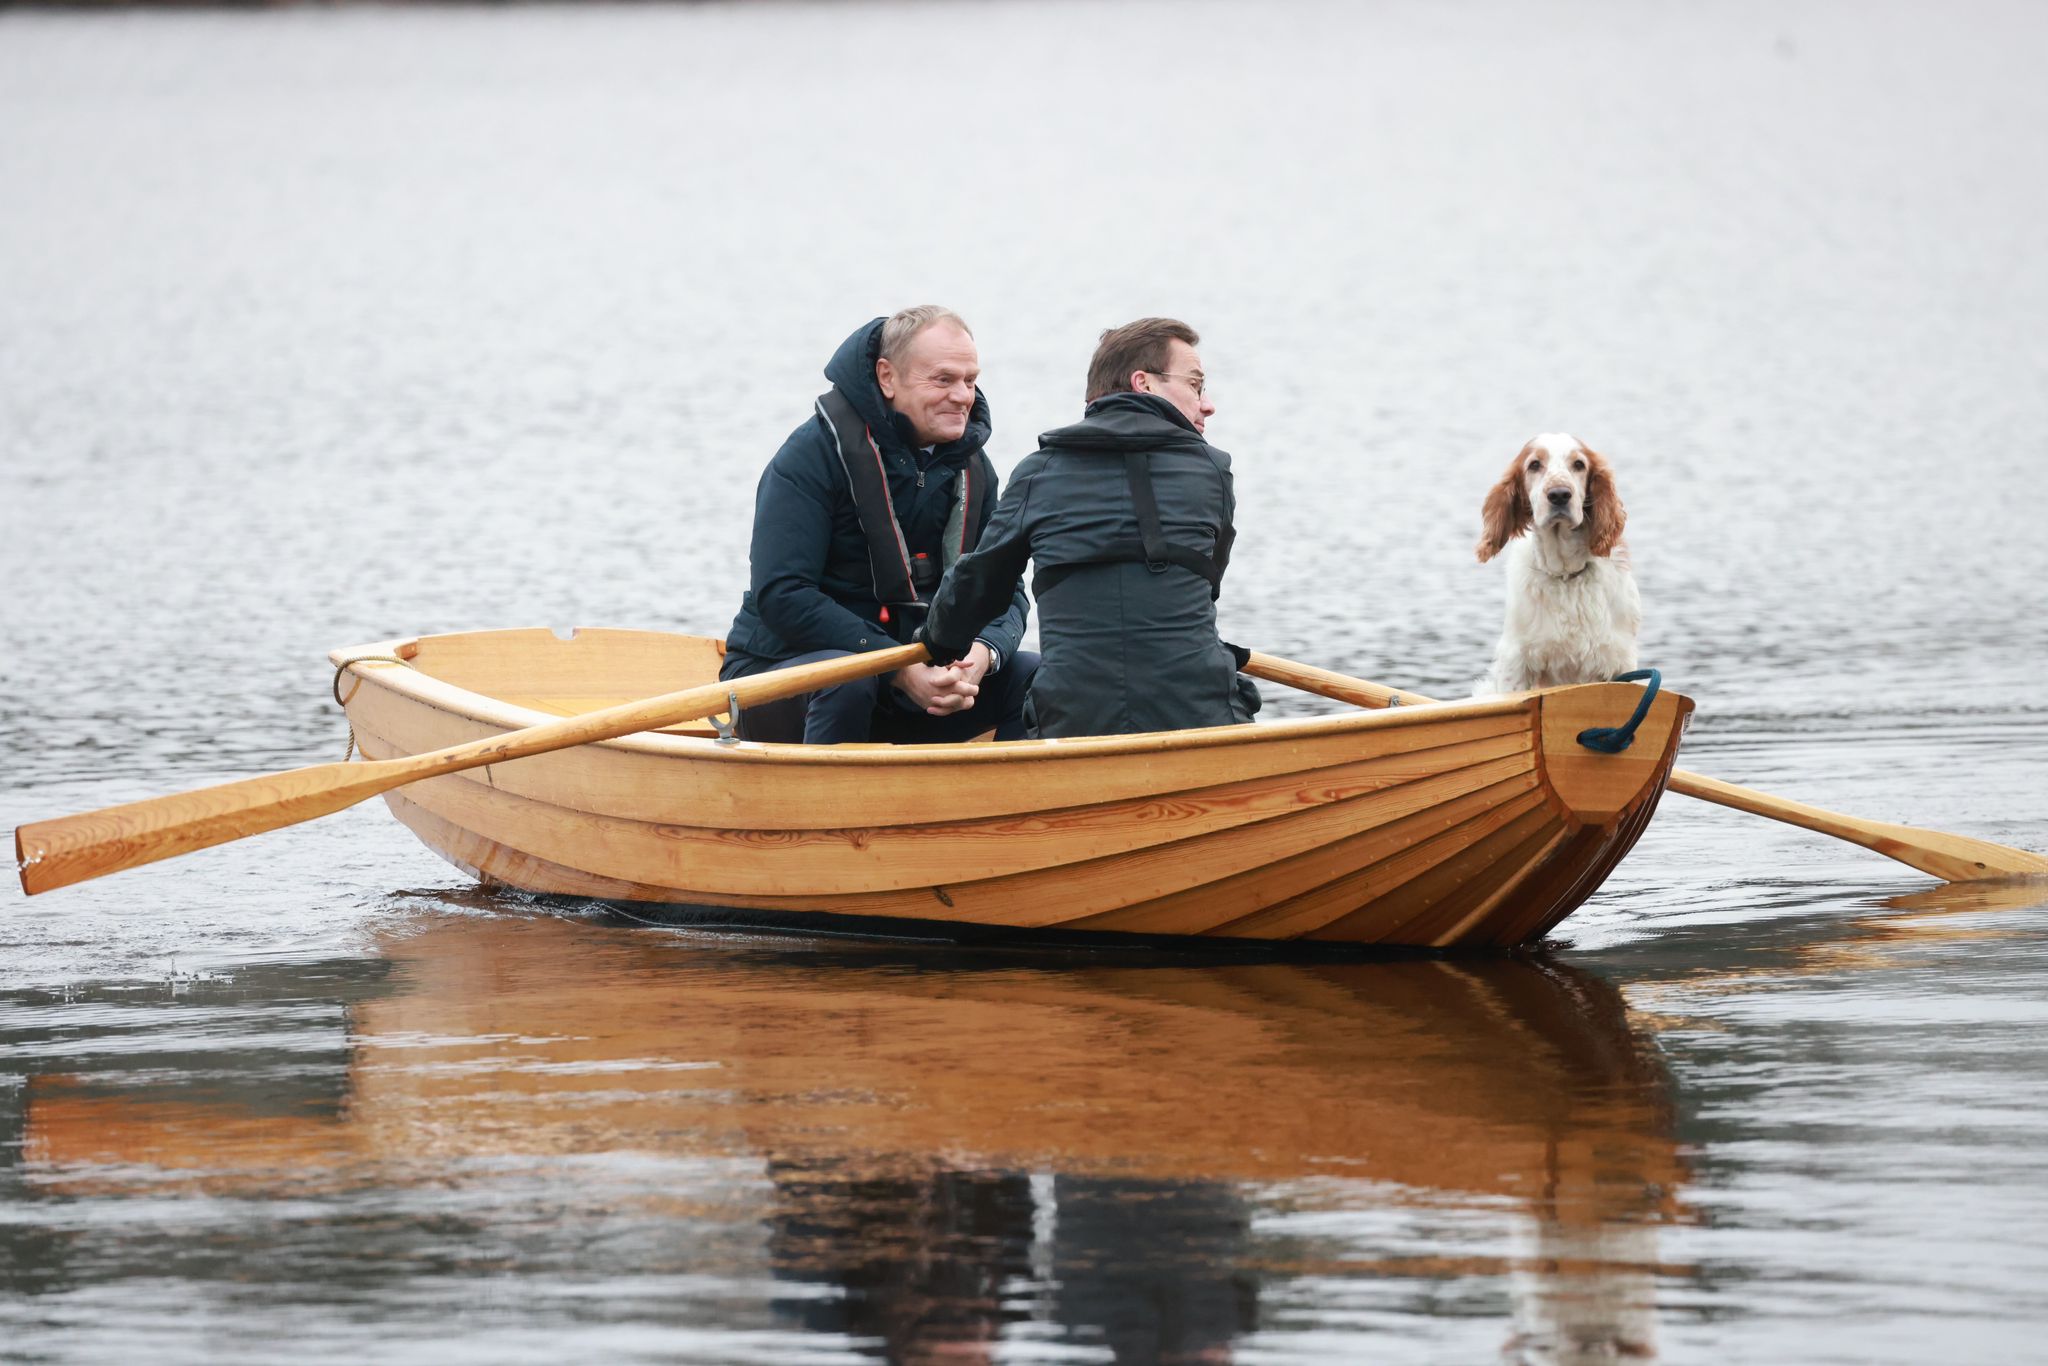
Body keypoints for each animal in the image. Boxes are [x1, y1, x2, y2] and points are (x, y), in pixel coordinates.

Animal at [1474, 432, 1646, 696]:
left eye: (1579, 464)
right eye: (1534, 464)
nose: (1559, 494)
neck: (1566, 574)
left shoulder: (1620, 660)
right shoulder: (1515, 660)